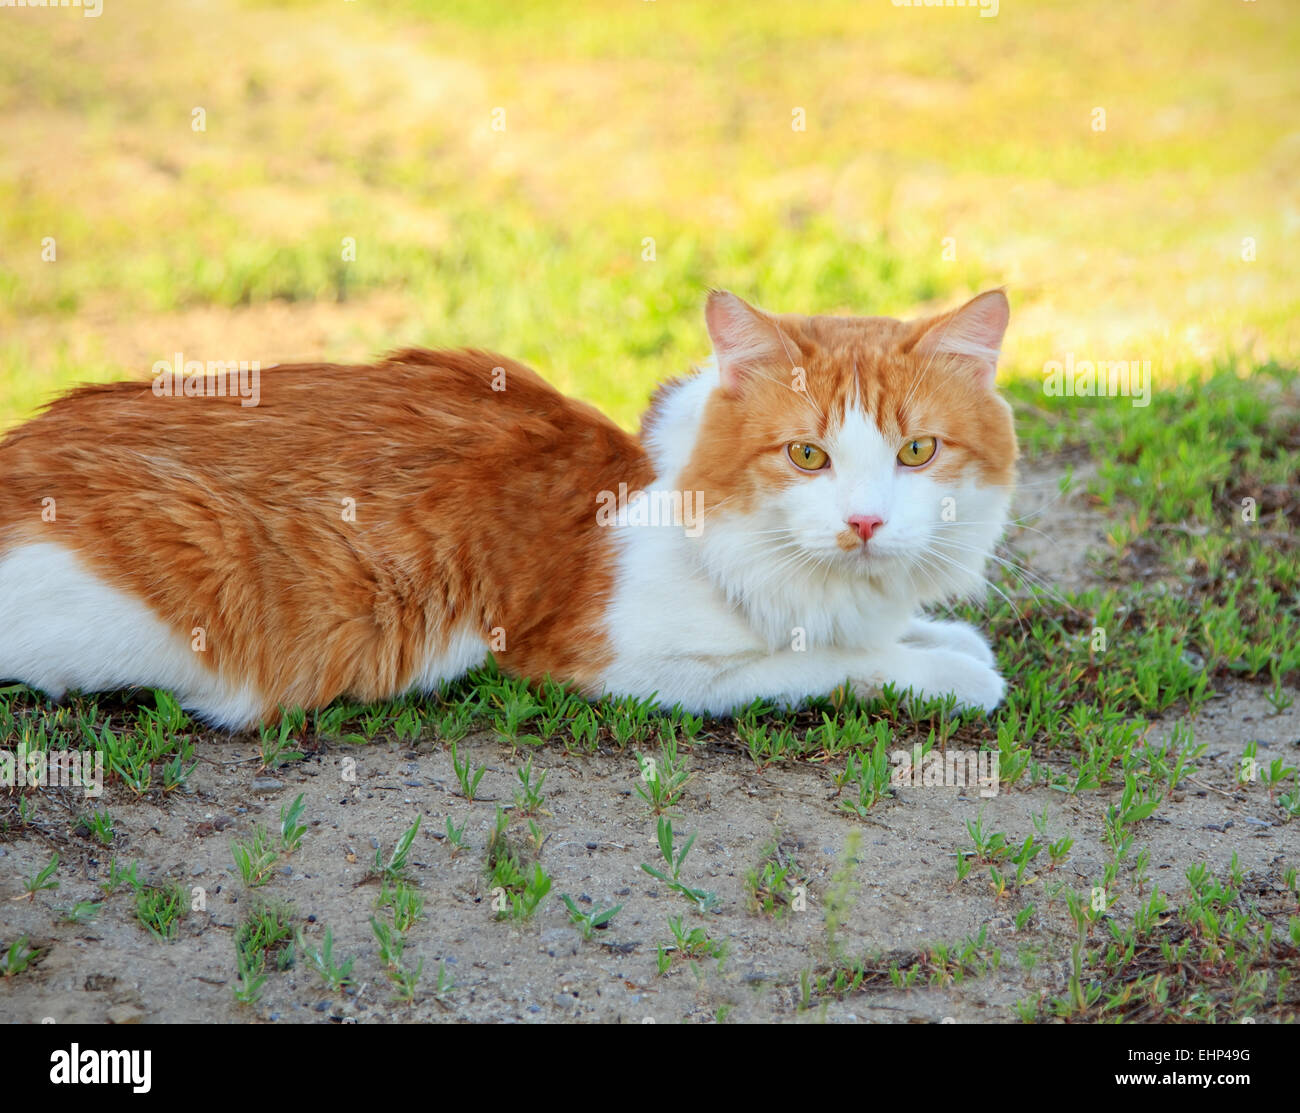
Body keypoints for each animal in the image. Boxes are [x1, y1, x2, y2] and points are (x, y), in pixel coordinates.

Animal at [0, 287, 1013, 728]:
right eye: (807, 455)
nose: (865, 522)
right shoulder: (623, 662)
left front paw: (939, 637)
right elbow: (830, 662)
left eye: (917, 452)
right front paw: (945, 669)